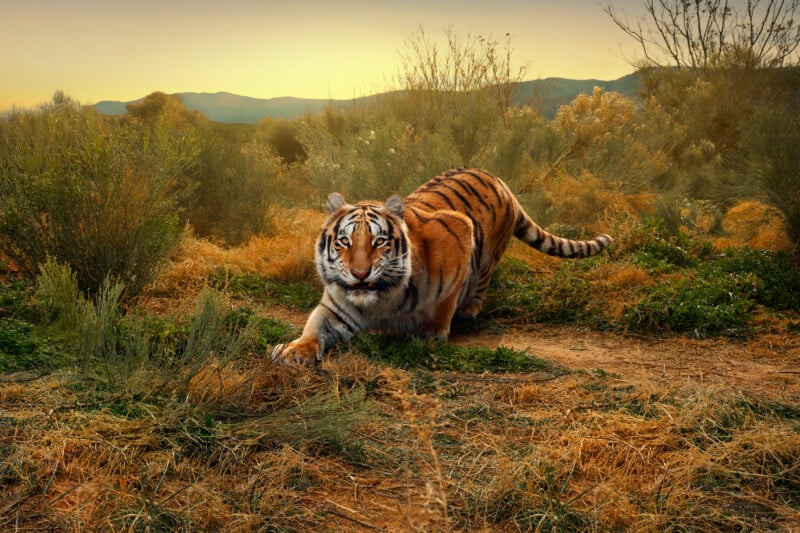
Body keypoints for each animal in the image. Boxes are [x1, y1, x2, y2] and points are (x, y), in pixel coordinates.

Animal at [271, 168, 612, 366]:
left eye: (379, 242)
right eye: (344, 241)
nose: (360, 273)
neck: (379, 301)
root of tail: (498, 178)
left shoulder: (460, 235)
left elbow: (445, 299)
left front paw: (430, 330)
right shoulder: (334, 308)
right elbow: (313, 328)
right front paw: (294, 350)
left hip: (488, 253)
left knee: (481, 280)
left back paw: (469, 310)